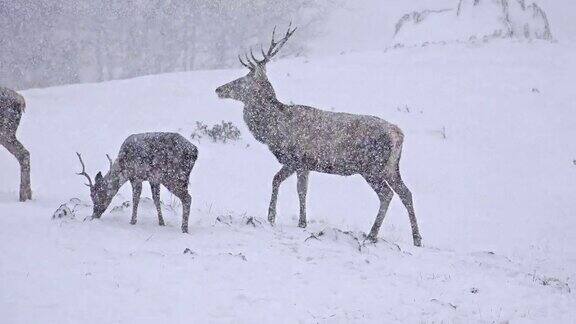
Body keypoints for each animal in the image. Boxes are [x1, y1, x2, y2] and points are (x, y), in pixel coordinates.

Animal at [214, 25, 420, 247]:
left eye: (242, 80)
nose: (218, 89)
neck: (274, 130)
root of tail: (398, 134)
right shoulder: (304, 164)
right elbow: (287, 184)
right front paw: (292, 220)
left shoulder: (297, 158)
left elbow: (293, 187)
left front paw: (282, 219)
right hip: (392, 168)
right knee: (406, 193)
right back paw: (417, 239)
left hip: (371, 167)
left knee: (387, 194)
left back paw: (372, 235)